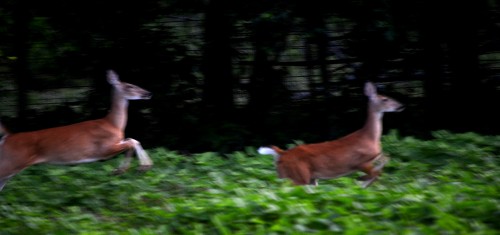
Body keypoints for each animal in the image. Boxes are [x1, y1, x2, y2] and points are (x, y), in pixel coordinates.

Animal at [0, 70, 152, 191]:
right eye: (129, 86)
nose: (148, 93)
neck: (113, 124)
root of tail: (7, 137)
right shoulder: (103, 150)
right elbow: (132, 142)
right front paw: (139, 167)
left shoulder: (115, 143)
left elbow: (132, 140)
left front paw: (121, 170)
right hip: (11, 162)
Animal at [258, 81, 402, 188]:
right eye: (385, 99)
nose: (400, 106)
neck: (370, 137)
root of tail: (281, 154)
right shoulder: (360, 162)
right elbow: (375, 173)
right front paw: (362, 180)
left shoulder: (374, 157)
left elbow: (386, 159)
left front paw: (363, 183)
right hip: (300, 175)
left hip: (300, 178)